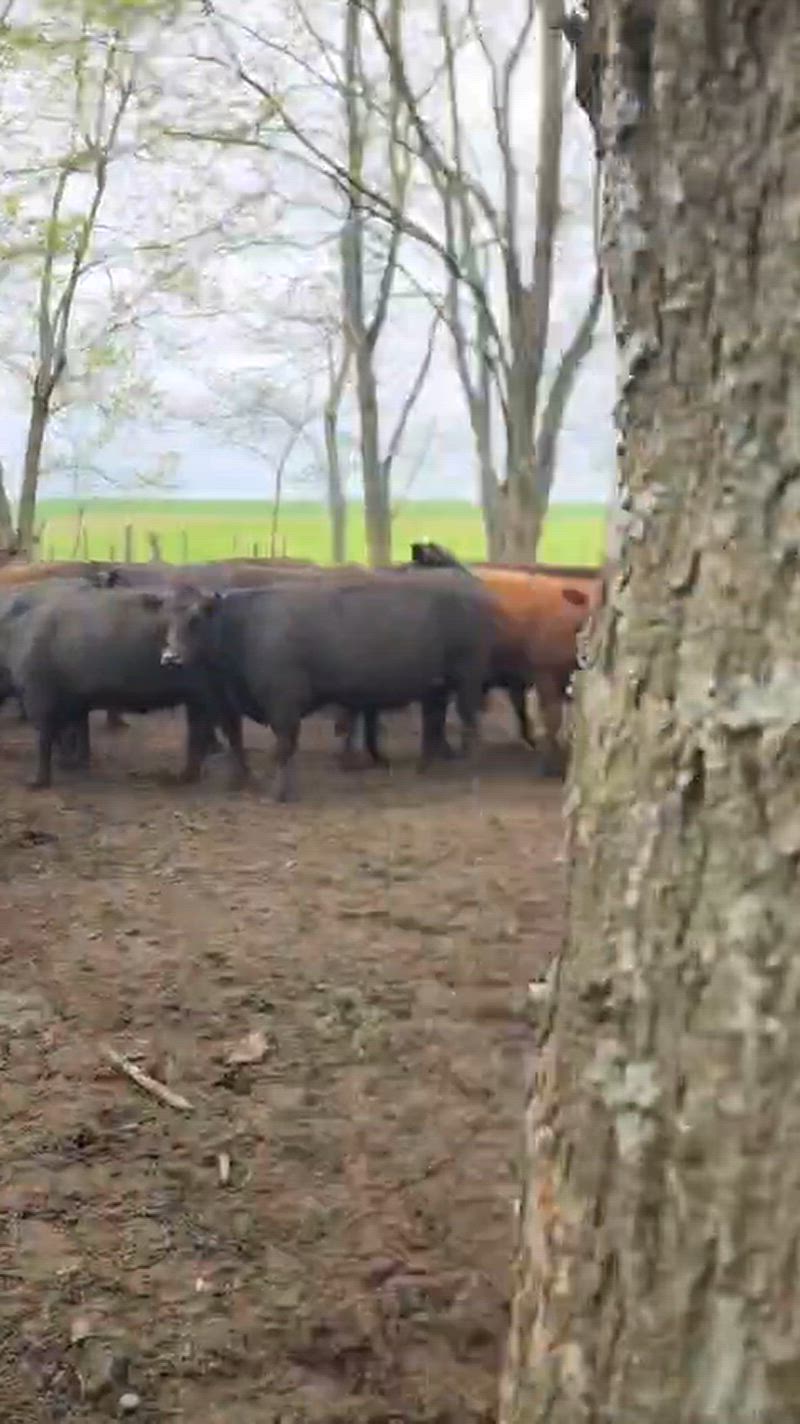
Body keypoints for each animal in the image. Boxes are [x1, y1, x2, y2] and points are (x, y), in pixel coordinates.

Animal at [159, 571, 495, 801]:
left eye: (195, 619)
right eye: (168, 619)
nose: (170, 657)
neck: (245, 626)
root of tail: (470, 588)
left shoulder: (284, 703)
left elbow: (284, 746)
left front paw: (279, 793)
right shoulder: (233, 702)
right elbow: (238, 742)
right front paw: (243, 783)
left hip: (466, 681)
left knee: (469, 723)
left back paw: (469, 769)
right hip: (435, 688)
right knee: (433, 722)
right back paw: (425, 769)